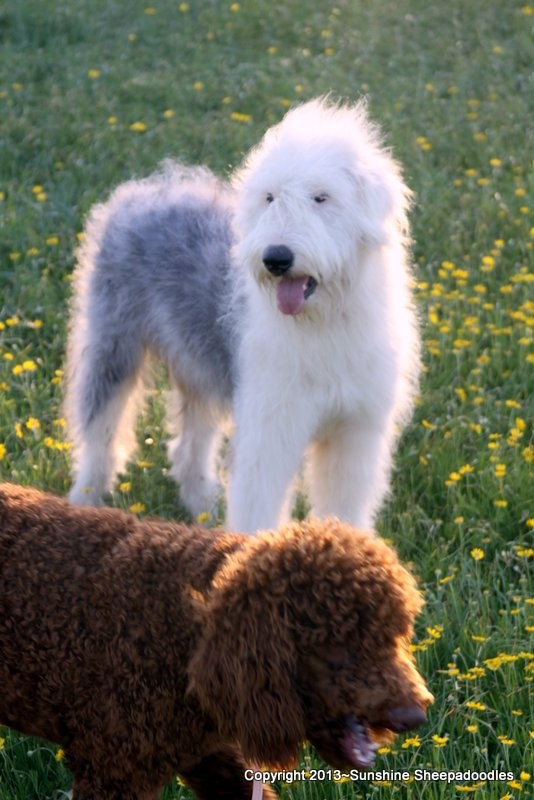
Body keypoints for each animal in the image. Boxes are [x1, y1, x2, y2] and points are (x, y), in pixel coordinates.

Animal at [65, 100, 420, 536]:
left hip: (195, 360)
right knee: (99, 434)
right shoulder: (270, 428)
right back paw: (83, 502)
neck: (322, 322)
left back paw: (205, 510)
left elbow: (343, 504)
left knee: (187, 449)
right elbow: (258, 503)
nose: (277, 258)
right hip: (114, 342)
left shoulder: (355, 431)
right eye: (270, 197)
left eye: (321, 197)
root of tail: (143, 189)